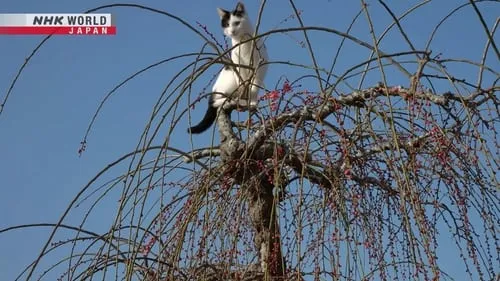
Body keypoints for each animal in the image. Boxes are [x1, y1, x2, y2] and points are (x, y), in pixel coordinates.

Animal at [188, 1, 268, 133]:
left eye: (236, 23)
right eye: (227, 24)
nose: (232, 31)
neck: (244, 44)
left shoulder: (260, 66)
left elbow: (254, 86)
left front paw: (252, 101)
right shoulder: (237, 66)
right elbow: (242, 83)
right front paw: (245, 99)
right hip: (228, 80)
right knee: (215, 102)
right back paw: (232, 100)